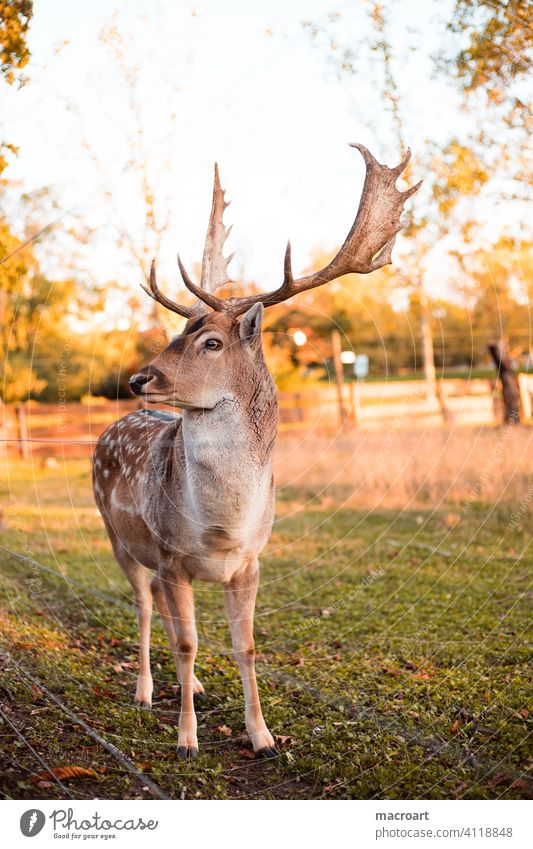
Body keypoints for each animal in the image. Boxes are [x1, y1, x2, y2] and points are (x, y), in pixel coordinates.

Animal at [92, 142, 420, 760]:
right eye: (176, 335)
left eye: (210, 342)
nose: (139, 378)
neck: (221, 526)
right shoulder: (170, 555)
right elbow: (189, 642)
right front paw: (187, 741)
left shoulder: (250, 562)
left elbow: (243, 647)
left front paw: (262, 737)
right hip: (118, 536)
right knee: (145, 609)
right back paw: (145, 692)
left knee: (163, 616)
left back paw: (190, 687)